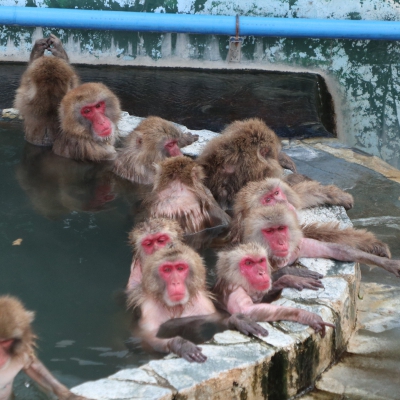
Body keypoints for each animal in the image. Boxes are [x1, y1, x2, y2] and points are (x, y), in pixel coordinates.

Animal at [126, 244, 268, 362]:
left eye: (180, 268)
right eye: (167, 270)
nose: (175, 282)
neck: (176, 307)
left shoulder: (203, 305)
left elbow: (216, 321)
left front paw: (237, 320)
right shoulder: (149, 310)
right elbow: (148, 338)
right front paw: (179, 343)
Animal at [242, 205, 400, 276]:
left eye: (281, 229)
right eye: (269, 231)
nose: (281, 242)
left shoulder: (297, 245)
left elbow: (339, 250)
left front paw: (388, 264)